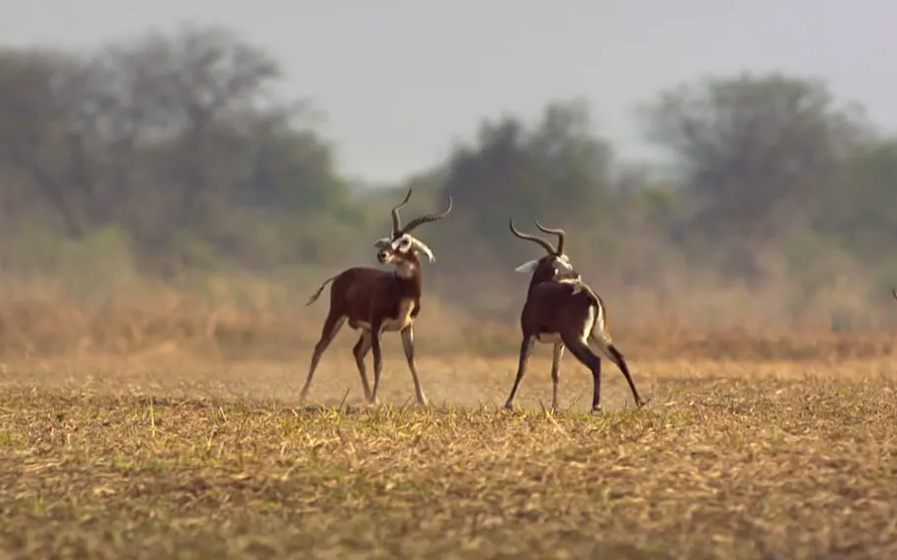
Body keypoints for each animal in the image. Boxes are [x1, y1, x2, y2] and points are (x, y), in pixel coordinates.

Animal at [300, 190, 452, 404]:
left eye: (405, 241)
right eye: (389, 238)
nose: (382, 254)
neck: (400, 293)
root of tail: (339, 276)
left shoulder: (406, 327)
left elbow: (412, 362)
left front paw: (423, 400)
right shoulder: (378, 325)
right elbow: (379, 362)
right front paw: (375, 398)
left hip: (365, 329)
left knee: (357, 352)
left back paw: (366, 396)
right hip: (337, 317)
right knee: (320, 348)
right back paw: (303, 395)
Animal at [504, 219, 644, 412]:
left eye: (565, 261)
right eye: (560, 261)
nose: (575, 274)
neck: (538, 288)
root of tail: (590, 295)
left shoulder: (529, 335)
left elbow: (522, 368)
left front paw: (508, 404)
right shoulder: (559, 342)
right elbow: (555, 372)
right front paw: (554, 408)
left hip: (575, 339)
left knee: (596, 361)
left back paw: (596, 406)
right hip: (599, 335)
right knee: (620, 358)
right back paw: (639, 402)